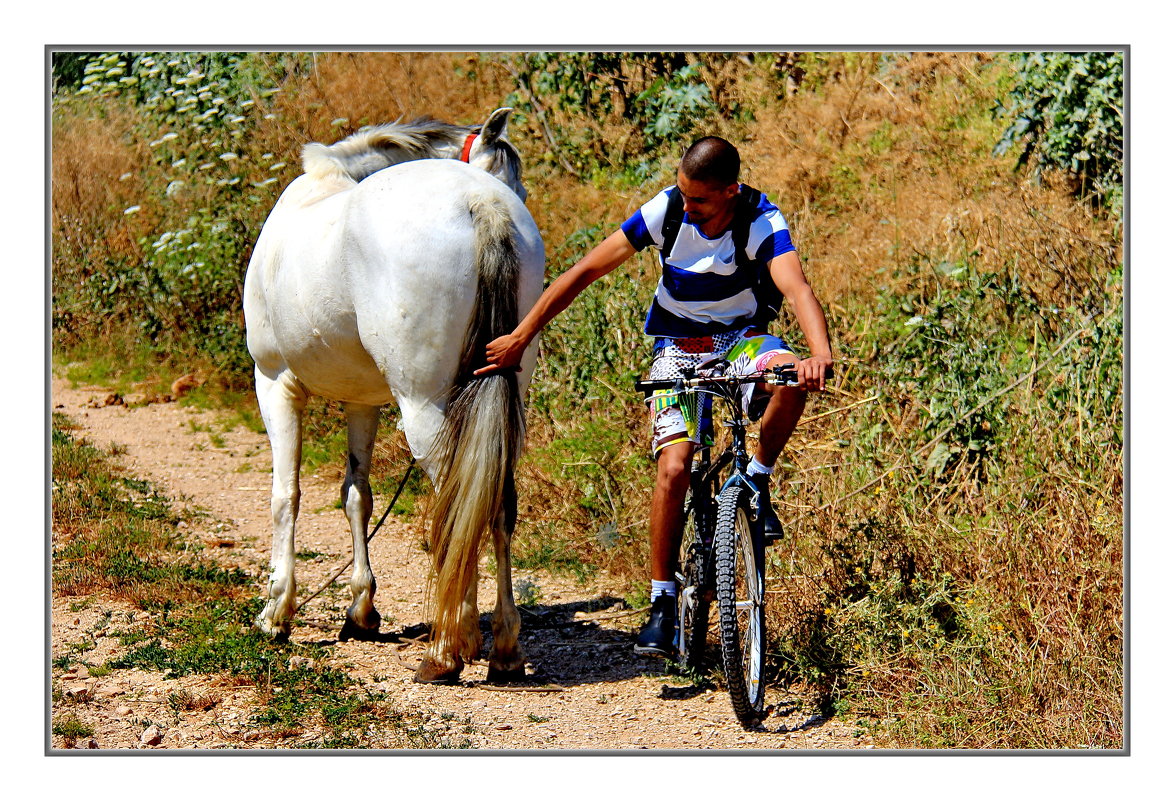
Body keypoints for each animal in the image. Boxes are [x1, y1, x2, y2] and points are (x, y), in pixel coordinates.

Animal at [246, 106, 545, 681]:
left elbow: (284, 497)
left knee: (456, 501)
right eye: (516, 180)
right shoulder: (361, 400)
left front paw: (276, 611)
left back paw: (448, 648)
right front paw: (361, 610)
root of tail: (483, 205)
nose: (514, 195)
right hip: (506, 405)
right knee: (497, 503)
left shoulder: (274, 383)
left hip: (424, 408)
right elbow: (356, 496)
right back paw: (504, 646)